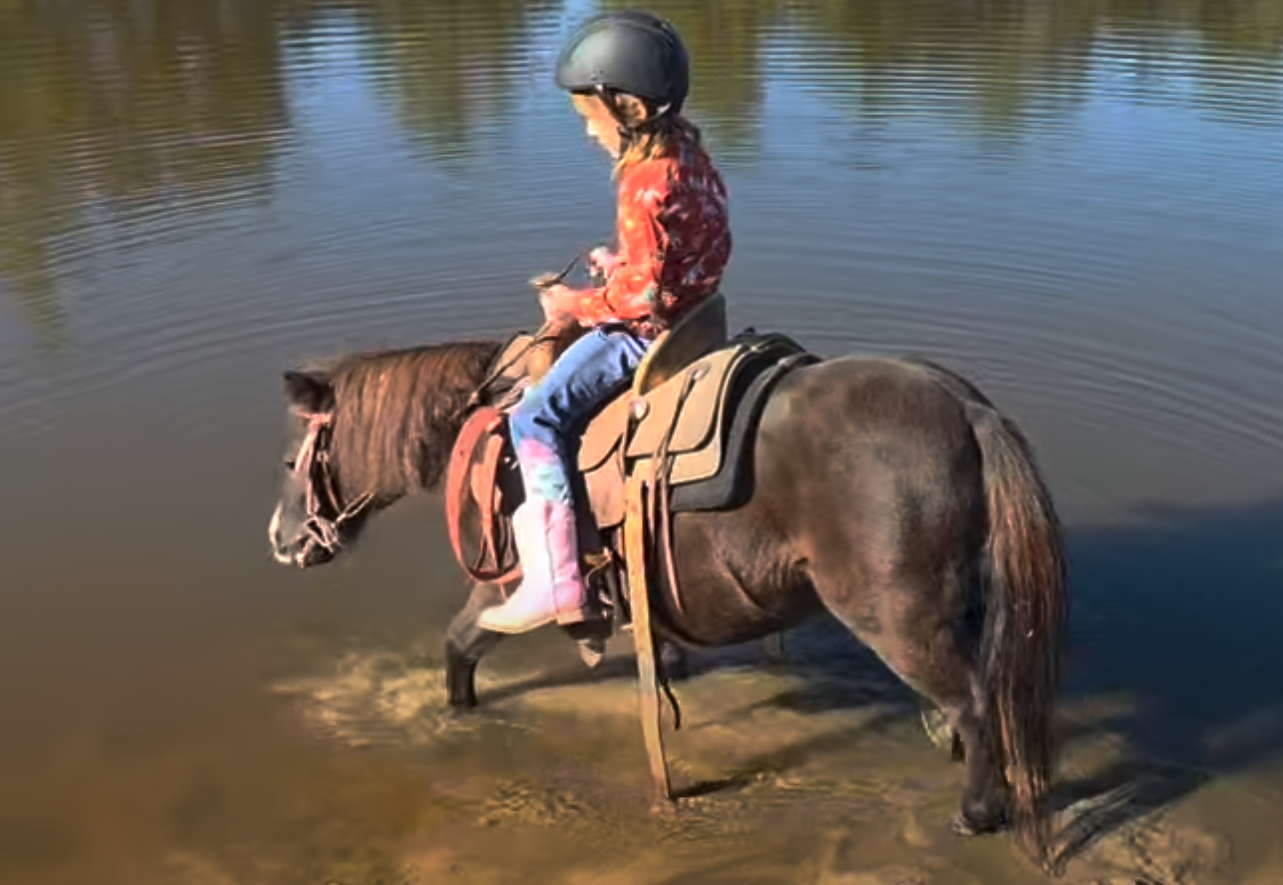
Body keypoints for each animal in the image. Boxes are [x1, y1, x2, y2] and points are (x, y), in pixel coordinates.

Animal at [265, 329, 1069, 871]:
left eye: (293, 457)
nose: (280, 539)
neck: (486, 431)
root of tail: (965, 409)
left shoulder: (497, 587)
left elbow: (459, 647)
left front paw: (457, 718)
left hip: (896, 615)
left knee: (975, 702)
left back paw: (974, 813)